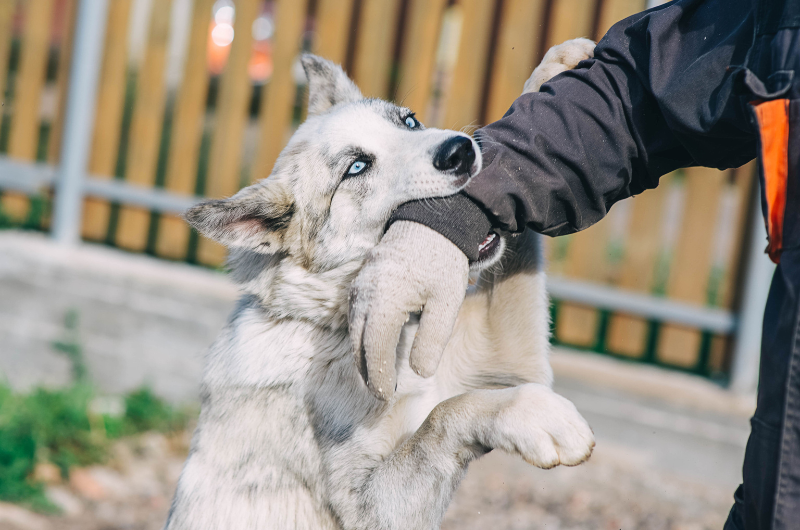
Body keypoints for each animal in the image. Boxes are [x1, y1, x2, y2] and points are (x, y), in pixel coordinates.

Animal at [166, 38, 596, 528]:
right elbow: (443, 417)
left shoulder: (510, 362)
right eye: (356, 167)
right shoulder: (374, 508)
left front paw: (547, 77)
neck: (337, 328)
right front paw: (536, 416)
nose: (460, 150)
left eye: (409, 121)